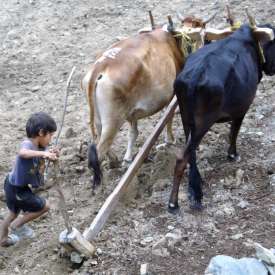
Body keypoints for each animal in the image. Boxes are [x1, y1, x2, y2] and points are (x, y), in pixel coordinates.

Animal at [168, 24, 275, 212]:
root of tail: (195, 76)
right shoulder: (241, 109)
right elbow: (234, 132)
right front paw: (232, 154)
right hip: (203, 122)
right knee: (182, 158)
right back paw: (174, 203)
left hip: (187, 119)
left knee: (190, 154)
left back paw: (194, 187)